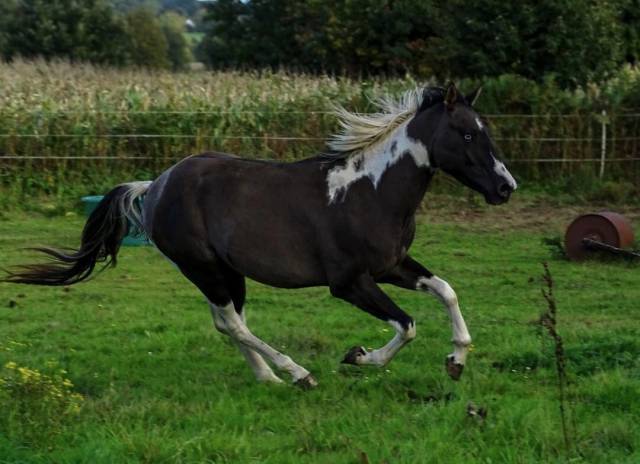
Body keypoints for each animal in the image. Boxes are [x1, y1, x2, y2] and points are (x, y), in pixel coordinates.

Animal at [3, 83, 517, 388]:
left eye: (483, 131)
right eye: (466, 135)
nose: (506, 188)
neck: (369, 192)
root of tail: (155, 186)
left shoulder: (392, 267)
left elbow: (446, 291)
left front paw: (456, 360)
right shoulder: (350, 283)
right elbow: (406, 325)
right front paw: (358, 357)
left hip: (227, 272)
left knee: (229, 323)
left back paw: (269, 378)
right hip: (203, 268)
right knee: (232, 323)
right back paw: (297, 373)